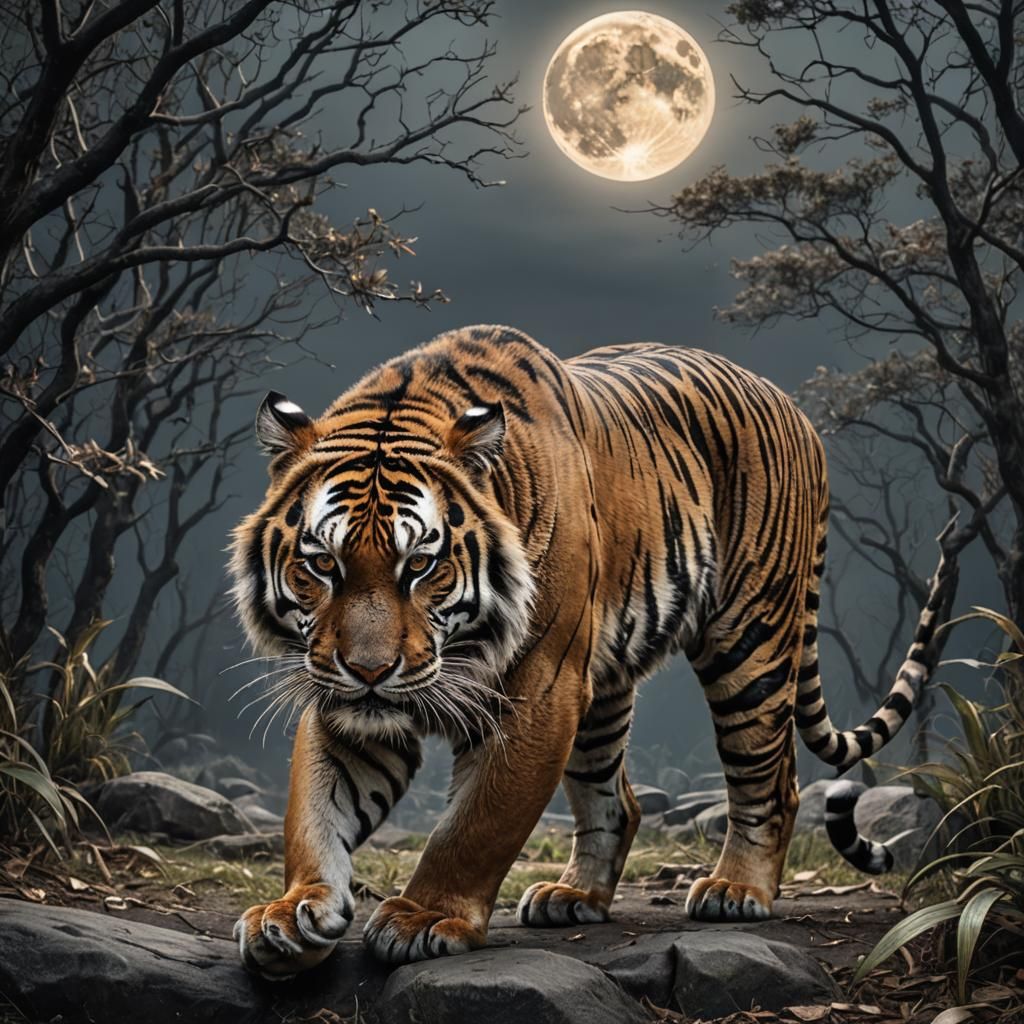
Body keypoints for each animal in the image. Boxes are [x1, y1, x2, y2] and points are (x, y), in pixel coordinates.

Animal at [228, 324, 955, 979]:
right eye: (322, 563)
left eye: (420, 565)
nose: (370, 669)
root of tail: (795, 408)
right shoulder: (351, 705)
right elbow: (315, 812)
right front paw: (293, 914)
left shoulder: (539, 693)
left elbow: (475, 826)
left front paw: (424, 917)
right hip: (602, 690)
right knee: (617, 800)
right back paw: (575, 894)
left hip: (748, 640)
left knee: (771, 779)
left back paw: (736, 889)